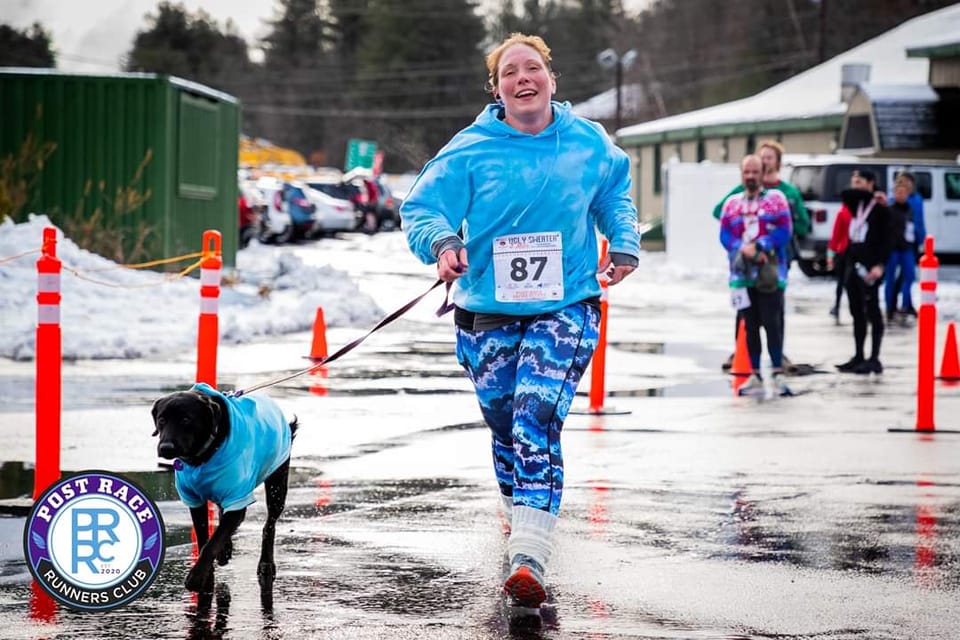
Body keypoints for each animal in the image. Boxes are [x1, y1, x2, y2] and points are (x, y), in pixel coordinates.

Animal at [150, 382, 296, 592]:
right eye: (162, 420)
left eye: (186, 419)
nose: (166, 448)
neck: (203, 457)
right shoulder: (194, 499)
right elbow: (204, 537)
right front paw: (207, 575)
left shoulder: (238, 499)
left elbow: (212, 542)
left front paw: (197, 577)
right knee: (222, 513)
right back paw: (225, 551)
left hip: (277, 484)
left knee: (269, 525)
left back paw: (266, 564)